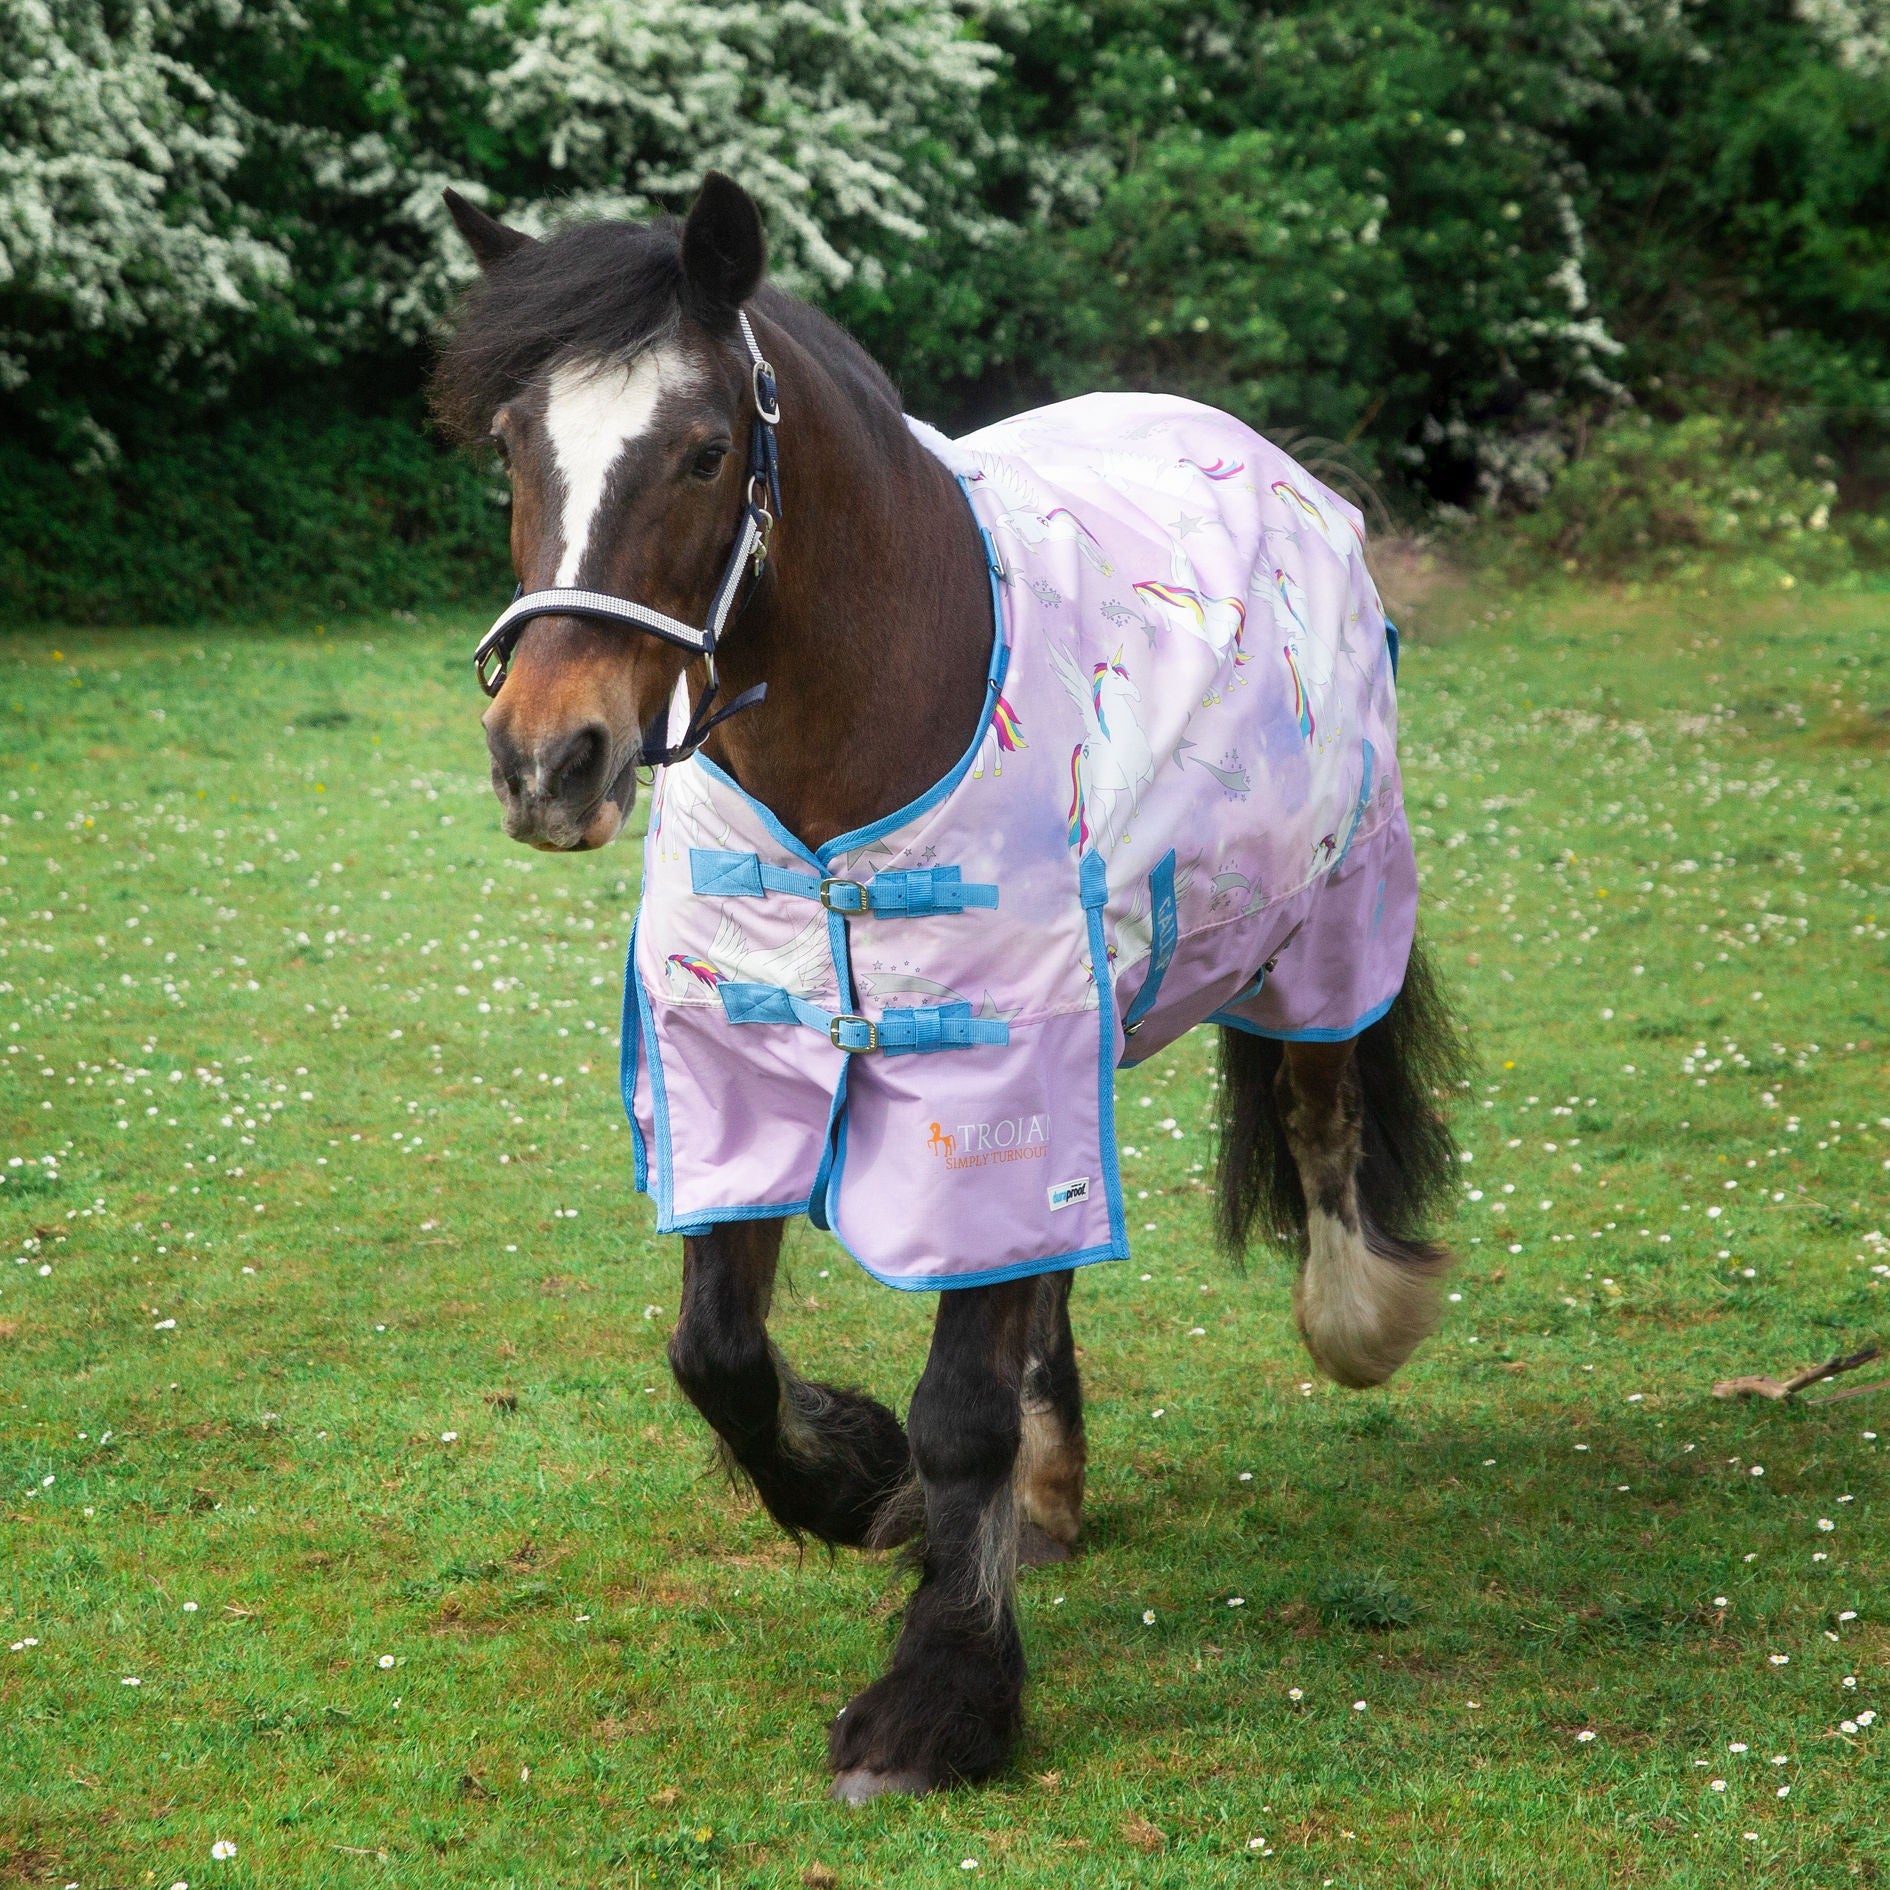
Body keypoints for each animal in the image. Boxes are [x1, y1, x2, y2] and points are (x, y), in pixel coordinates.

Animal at [431, 172, 1464, 1801]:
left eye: (704, 449)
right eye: (511, 446)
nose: (549, 761)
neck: (871, 729)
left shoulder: (996, 1066)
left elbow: (960, 1401)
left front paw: (939, 1693)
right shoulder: (748, 1056)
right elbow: (717, 1353)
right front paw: (858, 1476)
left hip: (1319, 926)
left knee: (1318, 1109)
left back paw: (1356, 1314)